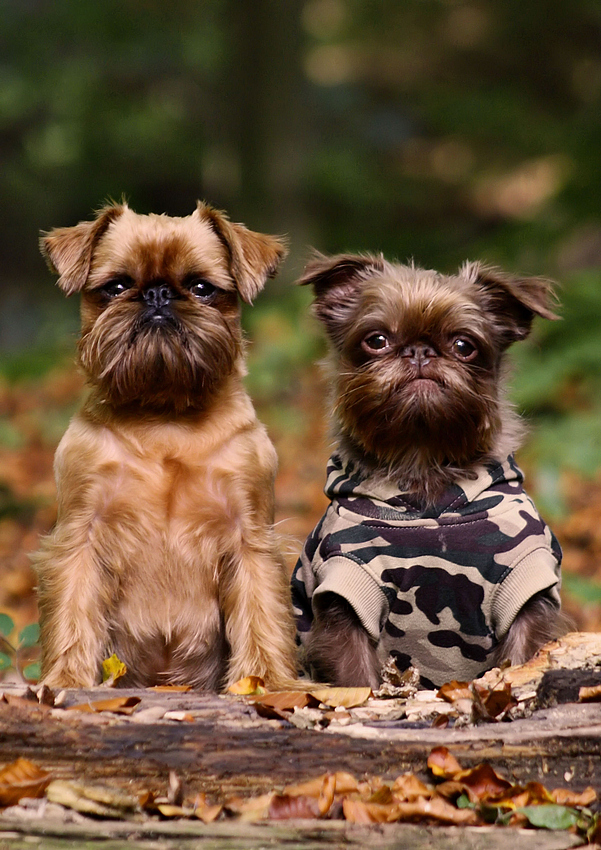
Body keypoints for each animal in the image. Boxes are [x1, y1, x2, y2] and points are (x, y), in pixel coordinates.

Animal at [31, 204, 298, 688]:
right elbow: (72, 610)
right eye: (117, 286)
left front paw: (263, 682)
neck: (164, 415)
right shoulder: (80, 535)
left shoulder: (250, 538)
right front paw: (66, 680)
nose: (157, 295)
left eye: (201, 288)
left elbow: (262, 613)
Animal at [290, 255, 568, 684]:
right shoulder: (344, 590)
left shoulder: (529, 587)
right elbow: (355, 677)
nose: (419, 351)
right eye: (376, 340)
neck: (424, 470)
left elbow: (523, 661)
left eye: (463, 346)